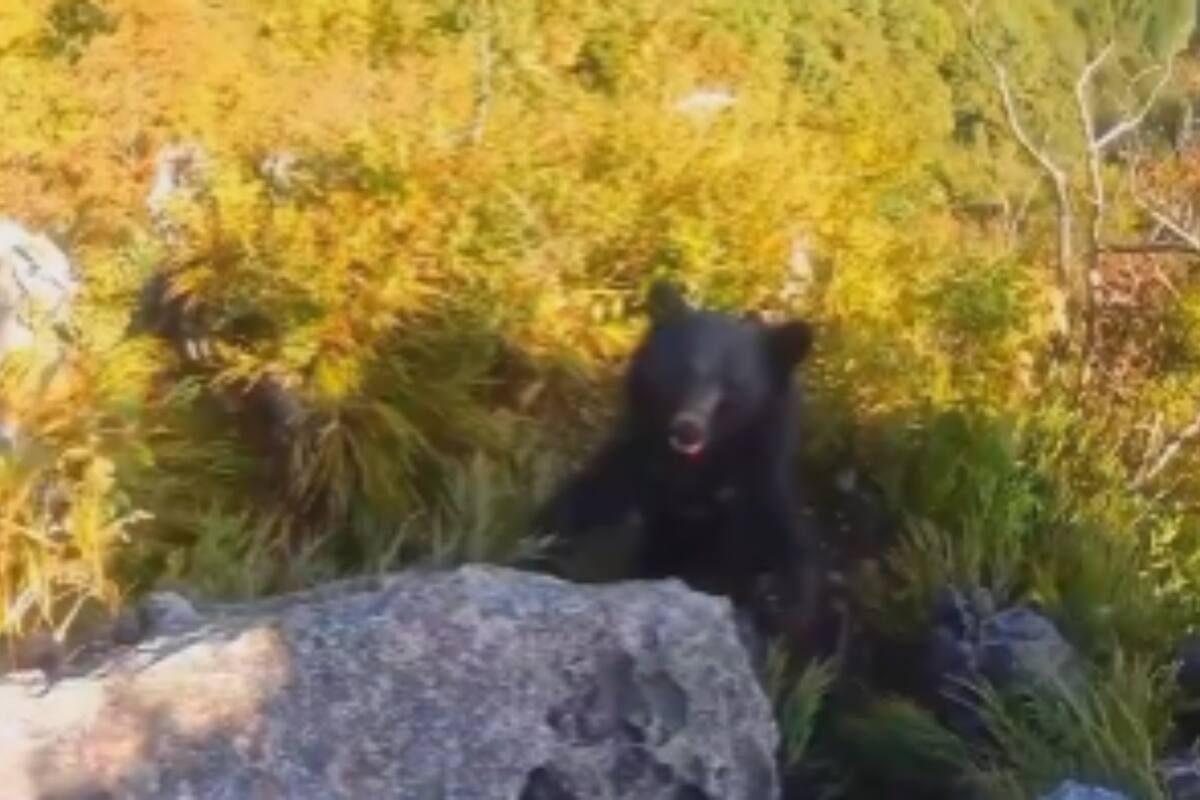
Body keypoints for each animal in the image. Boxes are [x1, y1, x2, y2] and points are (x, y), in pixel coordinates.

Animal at [536, 280, 819, 636]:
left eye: (733, 388)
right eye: (683, 371)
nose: (688, 429)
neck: (694, 468)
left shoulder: (755, 484)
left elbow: (774, 537)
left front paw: (781, 600)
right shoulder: (638, 460)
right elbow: (592, 501)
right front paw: (543, 541)